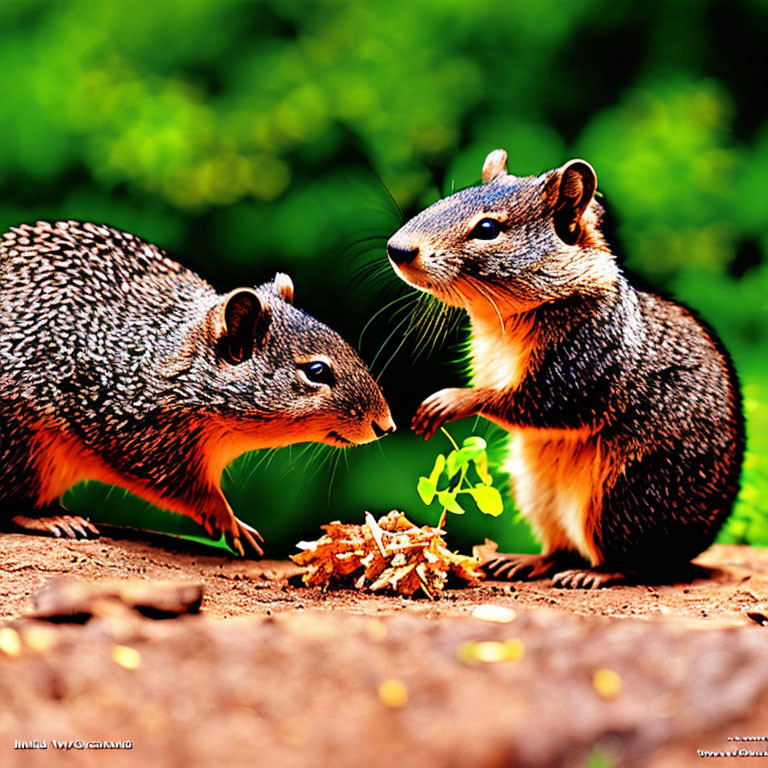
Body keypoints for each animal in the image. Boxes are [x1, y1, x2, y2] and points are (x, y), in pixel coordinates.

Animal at [0, 219, 392, 556]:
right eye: (316, 370)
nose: (386, 425)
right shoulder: (140, 439)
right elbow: (188, 490)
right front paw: (230, 520)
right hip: (26, 449)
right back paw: (52, 519)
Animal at [390, 150, 744, 588]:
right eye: (445, 200)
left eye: (488, 228)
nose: (397, 249)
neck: (503, 322)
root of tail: (693, 545)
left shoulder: (586, 362)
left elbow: (535, 403)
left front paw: (453, 400)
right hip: (537, 494)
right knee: (562, 549)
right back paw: (529, 562)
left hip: (624, 497)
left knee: (634, 560)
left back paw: (598, 573)